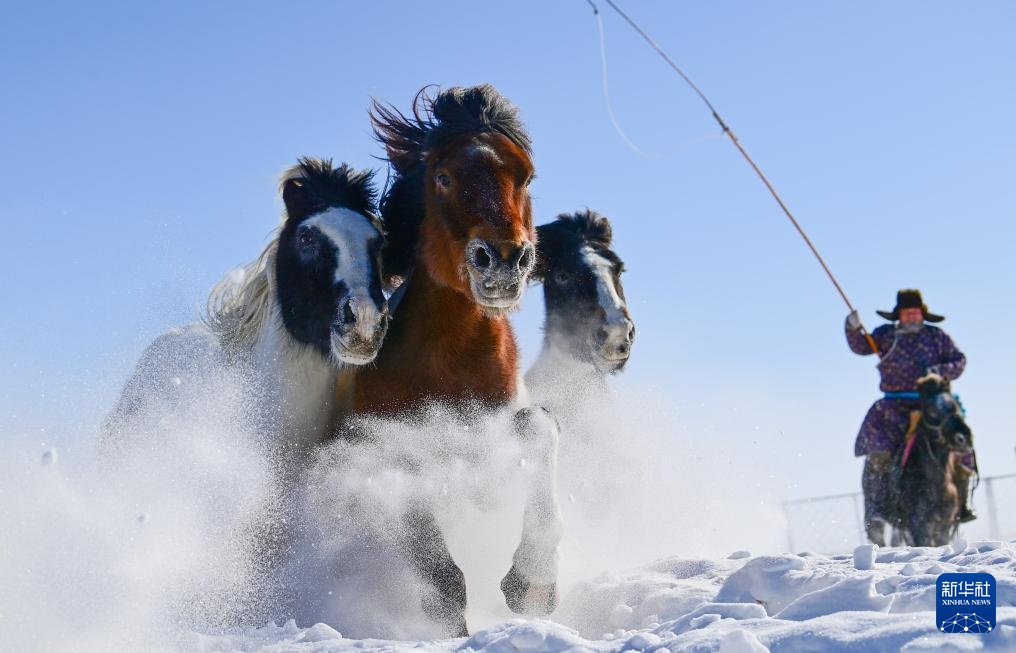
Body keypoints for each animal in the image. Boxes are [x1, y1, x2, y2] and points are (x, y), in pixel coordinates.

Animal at [338, 85, 562, 636]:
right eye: (443, 177)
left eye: (526, 175)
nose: (503, 260)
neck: (452, 363)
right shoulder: (391, 452)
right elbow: (440, 578)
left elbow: (539, 427)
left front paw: (534, 583)